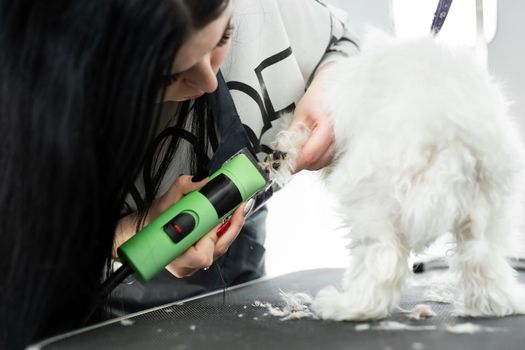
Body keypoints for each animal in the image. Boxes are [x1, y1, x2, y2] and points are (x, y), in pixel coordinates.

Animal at [264, 34, 524, 322]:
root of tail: (452, 138)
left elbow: (299, 132)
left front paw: (282, 152)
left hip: (373, 202)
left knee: (383, 263)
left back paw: (345, 306)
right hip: (486, 210)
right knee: (484, 262)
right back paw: (494, 305)